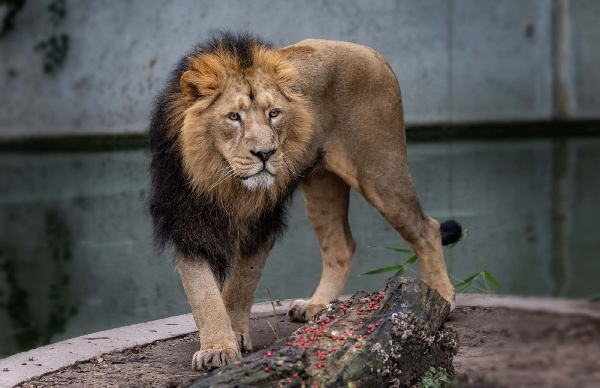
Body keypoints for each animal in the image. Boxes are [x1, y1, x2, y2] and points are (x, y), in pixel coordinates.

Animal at [148, 31, 462, 372]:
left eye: (274, 113)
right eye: (233, 116)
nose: (266, 154)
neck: (226, 182)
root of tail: (372, 52)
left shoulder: (262, 223)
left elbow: (240, 285)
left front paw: (235, 336)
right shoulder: (186, 223)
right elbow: (203, 293)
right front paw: (217, 347)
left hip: (381, 171)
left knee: (427, 228)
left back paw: (442, 298)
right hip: (322, 187)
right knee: (341, 246)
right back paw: (316, 305)